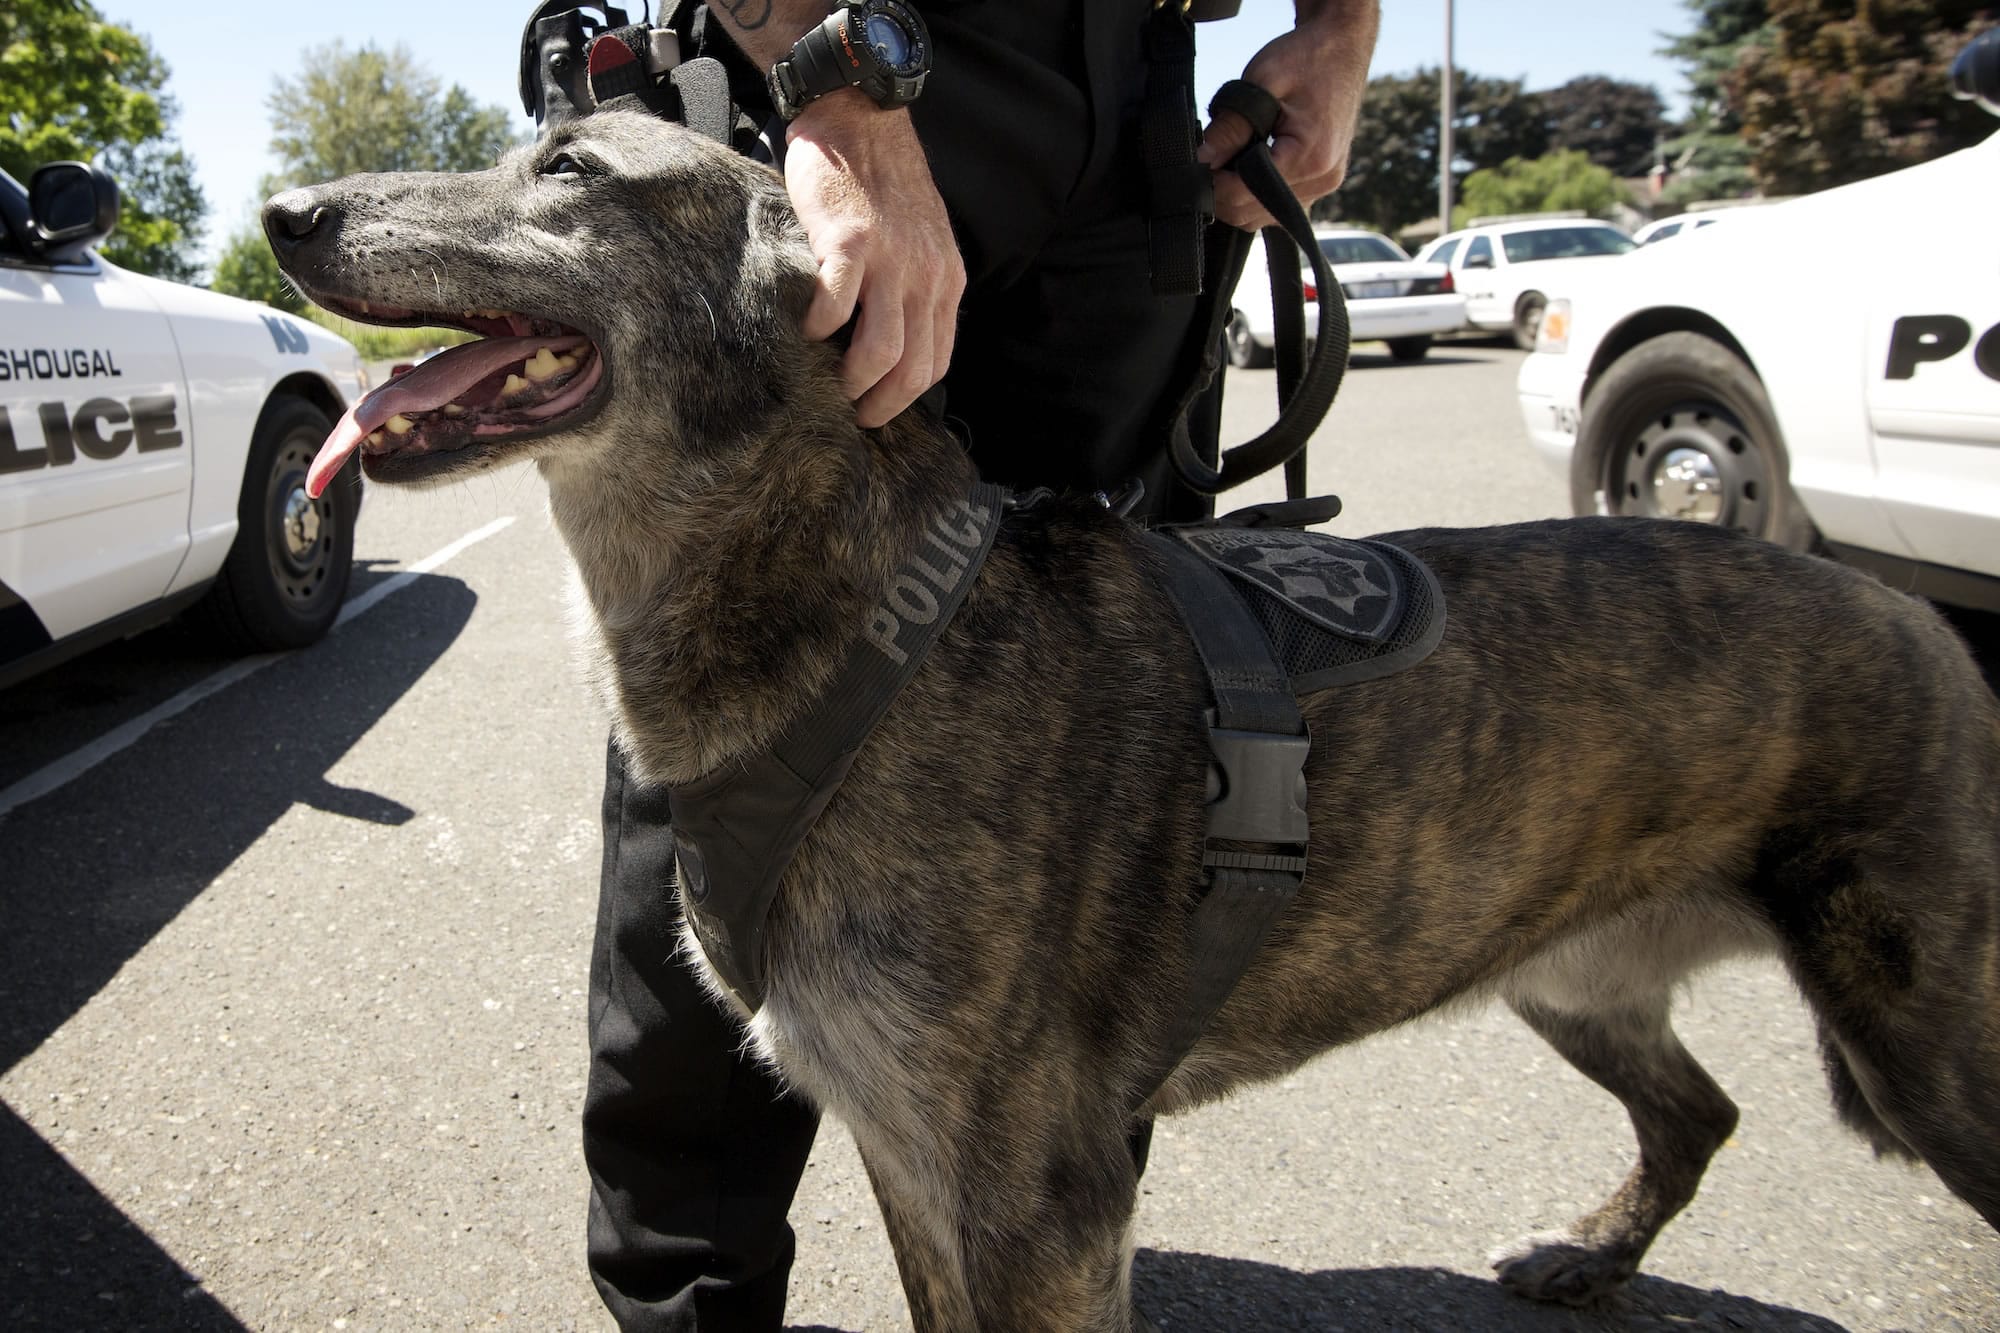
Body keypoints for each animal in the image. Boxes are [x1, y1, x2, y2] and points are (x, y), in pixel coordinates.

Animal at [266, 109, 2000, 1320]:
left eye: (567, 165)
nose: (283, 215)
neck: (864, 617)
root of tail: (1913, 609)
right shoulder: (910, 1154)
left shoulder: (1042, 1206)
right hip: (1570, 971)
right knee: (1698, 1110)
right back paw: (1588, 1256)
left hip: (1927, 1036)